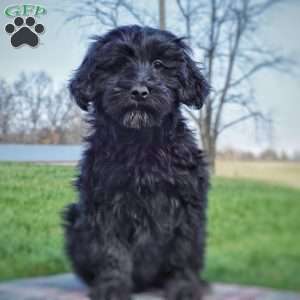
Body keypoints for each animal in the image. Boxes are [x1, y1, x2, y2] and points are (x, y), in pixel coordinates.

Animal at [63, 24, 209, 298]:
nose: (140, 92)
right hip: (73, 216)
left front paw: (184, 287)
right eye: (120, 64)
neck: (140, 142)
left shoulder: (187, 204)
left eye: (159, 64)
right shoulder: (103, 205)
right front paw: (112, 287)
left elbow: (183, 249)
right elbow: (111, 252)